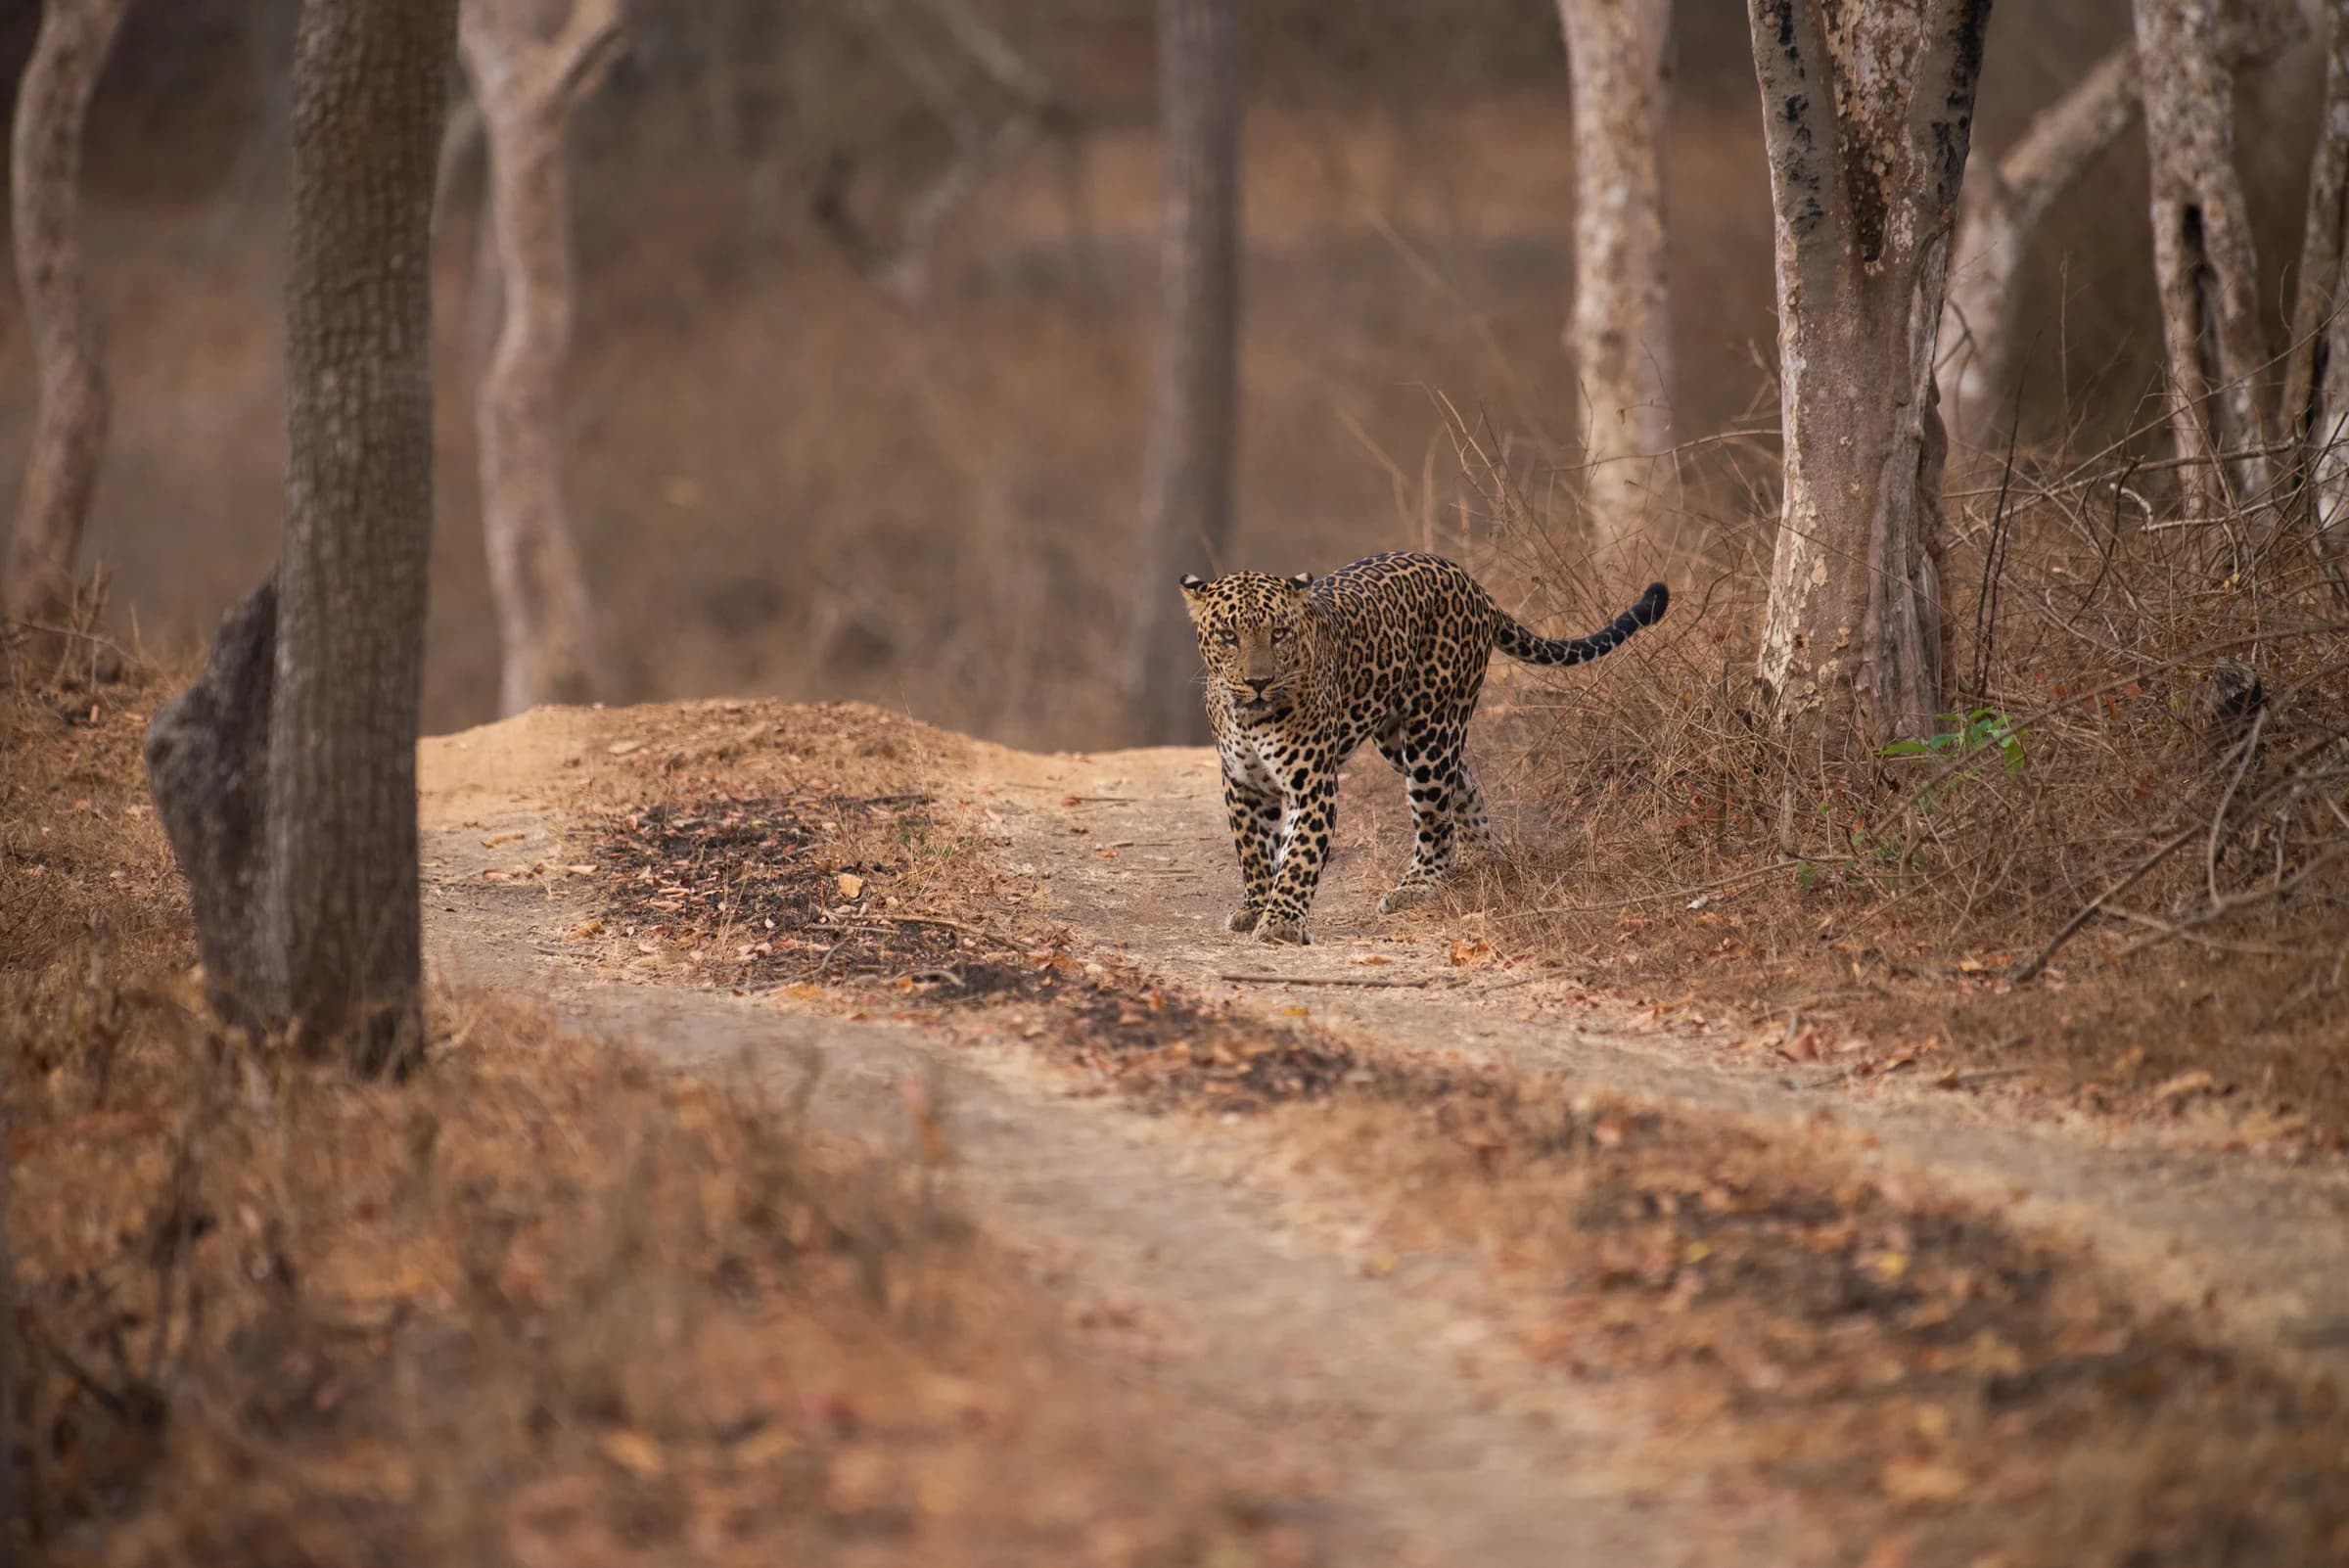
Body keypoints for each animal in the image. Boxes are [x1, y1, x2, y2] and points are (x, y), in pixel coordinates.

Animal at [1181, 551, 1668, 945]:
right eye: (1228, 635)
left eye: (1279, 633)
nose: (1258, 682)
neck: (1249, 716)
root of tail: (1472, 584)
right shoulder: (1243, 784)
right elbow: (1252, 851)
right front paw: (1255, 907)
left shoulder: (1313, 785)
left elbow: (1299, 856)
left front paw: (1281, 920)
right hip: (1399, 740)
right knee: (1463, 781)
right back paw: (1481, 861)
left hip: (1431, 731)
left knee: (1436, 820)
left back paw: (1415, 887)